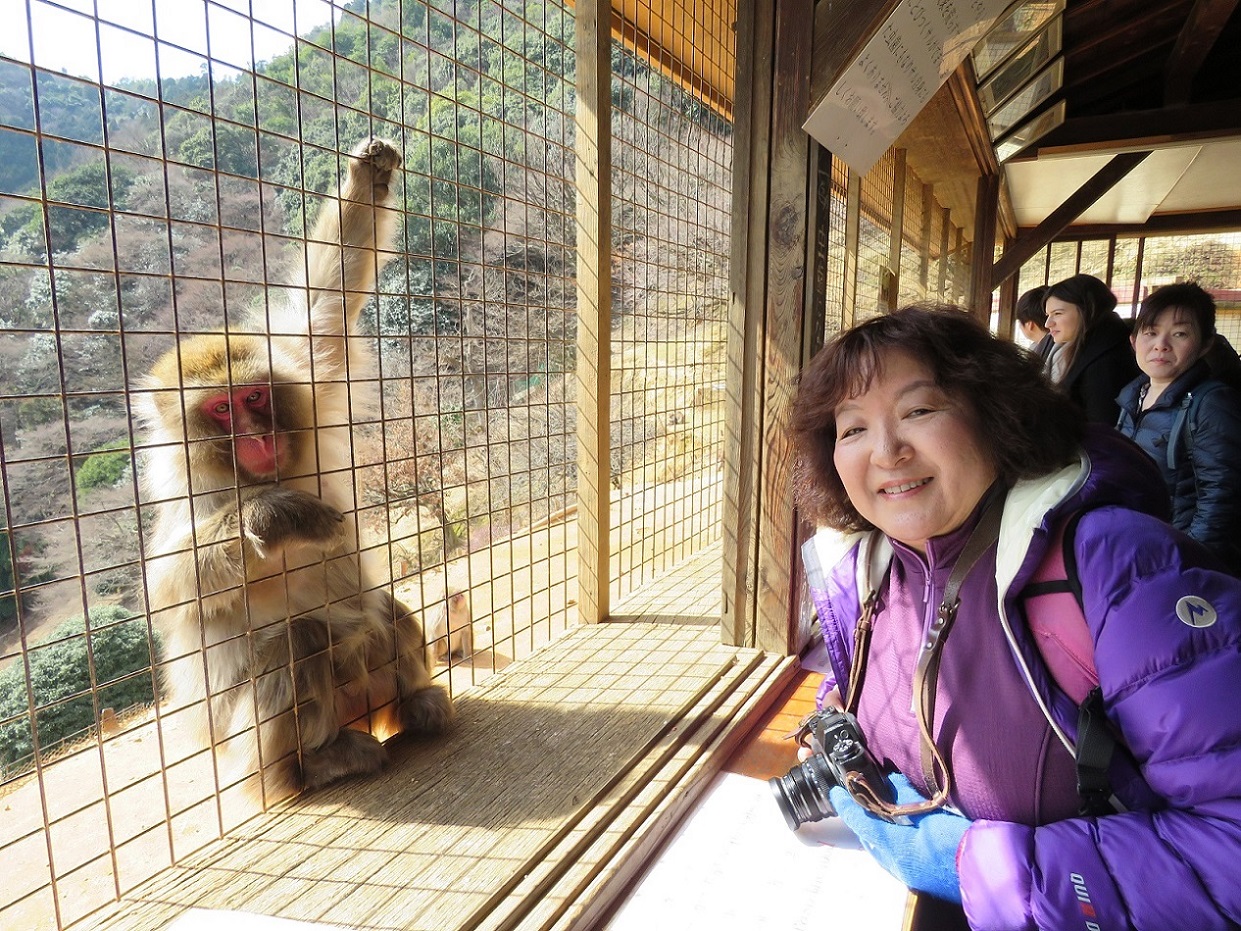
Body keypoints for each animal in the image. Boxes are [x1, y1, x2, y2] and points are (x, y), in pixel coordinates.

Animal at [135, 138, 453, 801]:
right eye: (220, 409)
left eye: (255, 396)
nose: (256, 436)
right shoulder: (191, 497)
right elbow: (170, 592)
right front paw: (271, 516)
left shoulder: (303, 367)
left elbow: (326, 307)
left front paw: (368, 174)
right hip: (247, 743)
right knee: (299, 642)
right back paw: (309, 767)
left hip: (370, 685)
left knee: (384, 609)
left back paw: (416, 704)